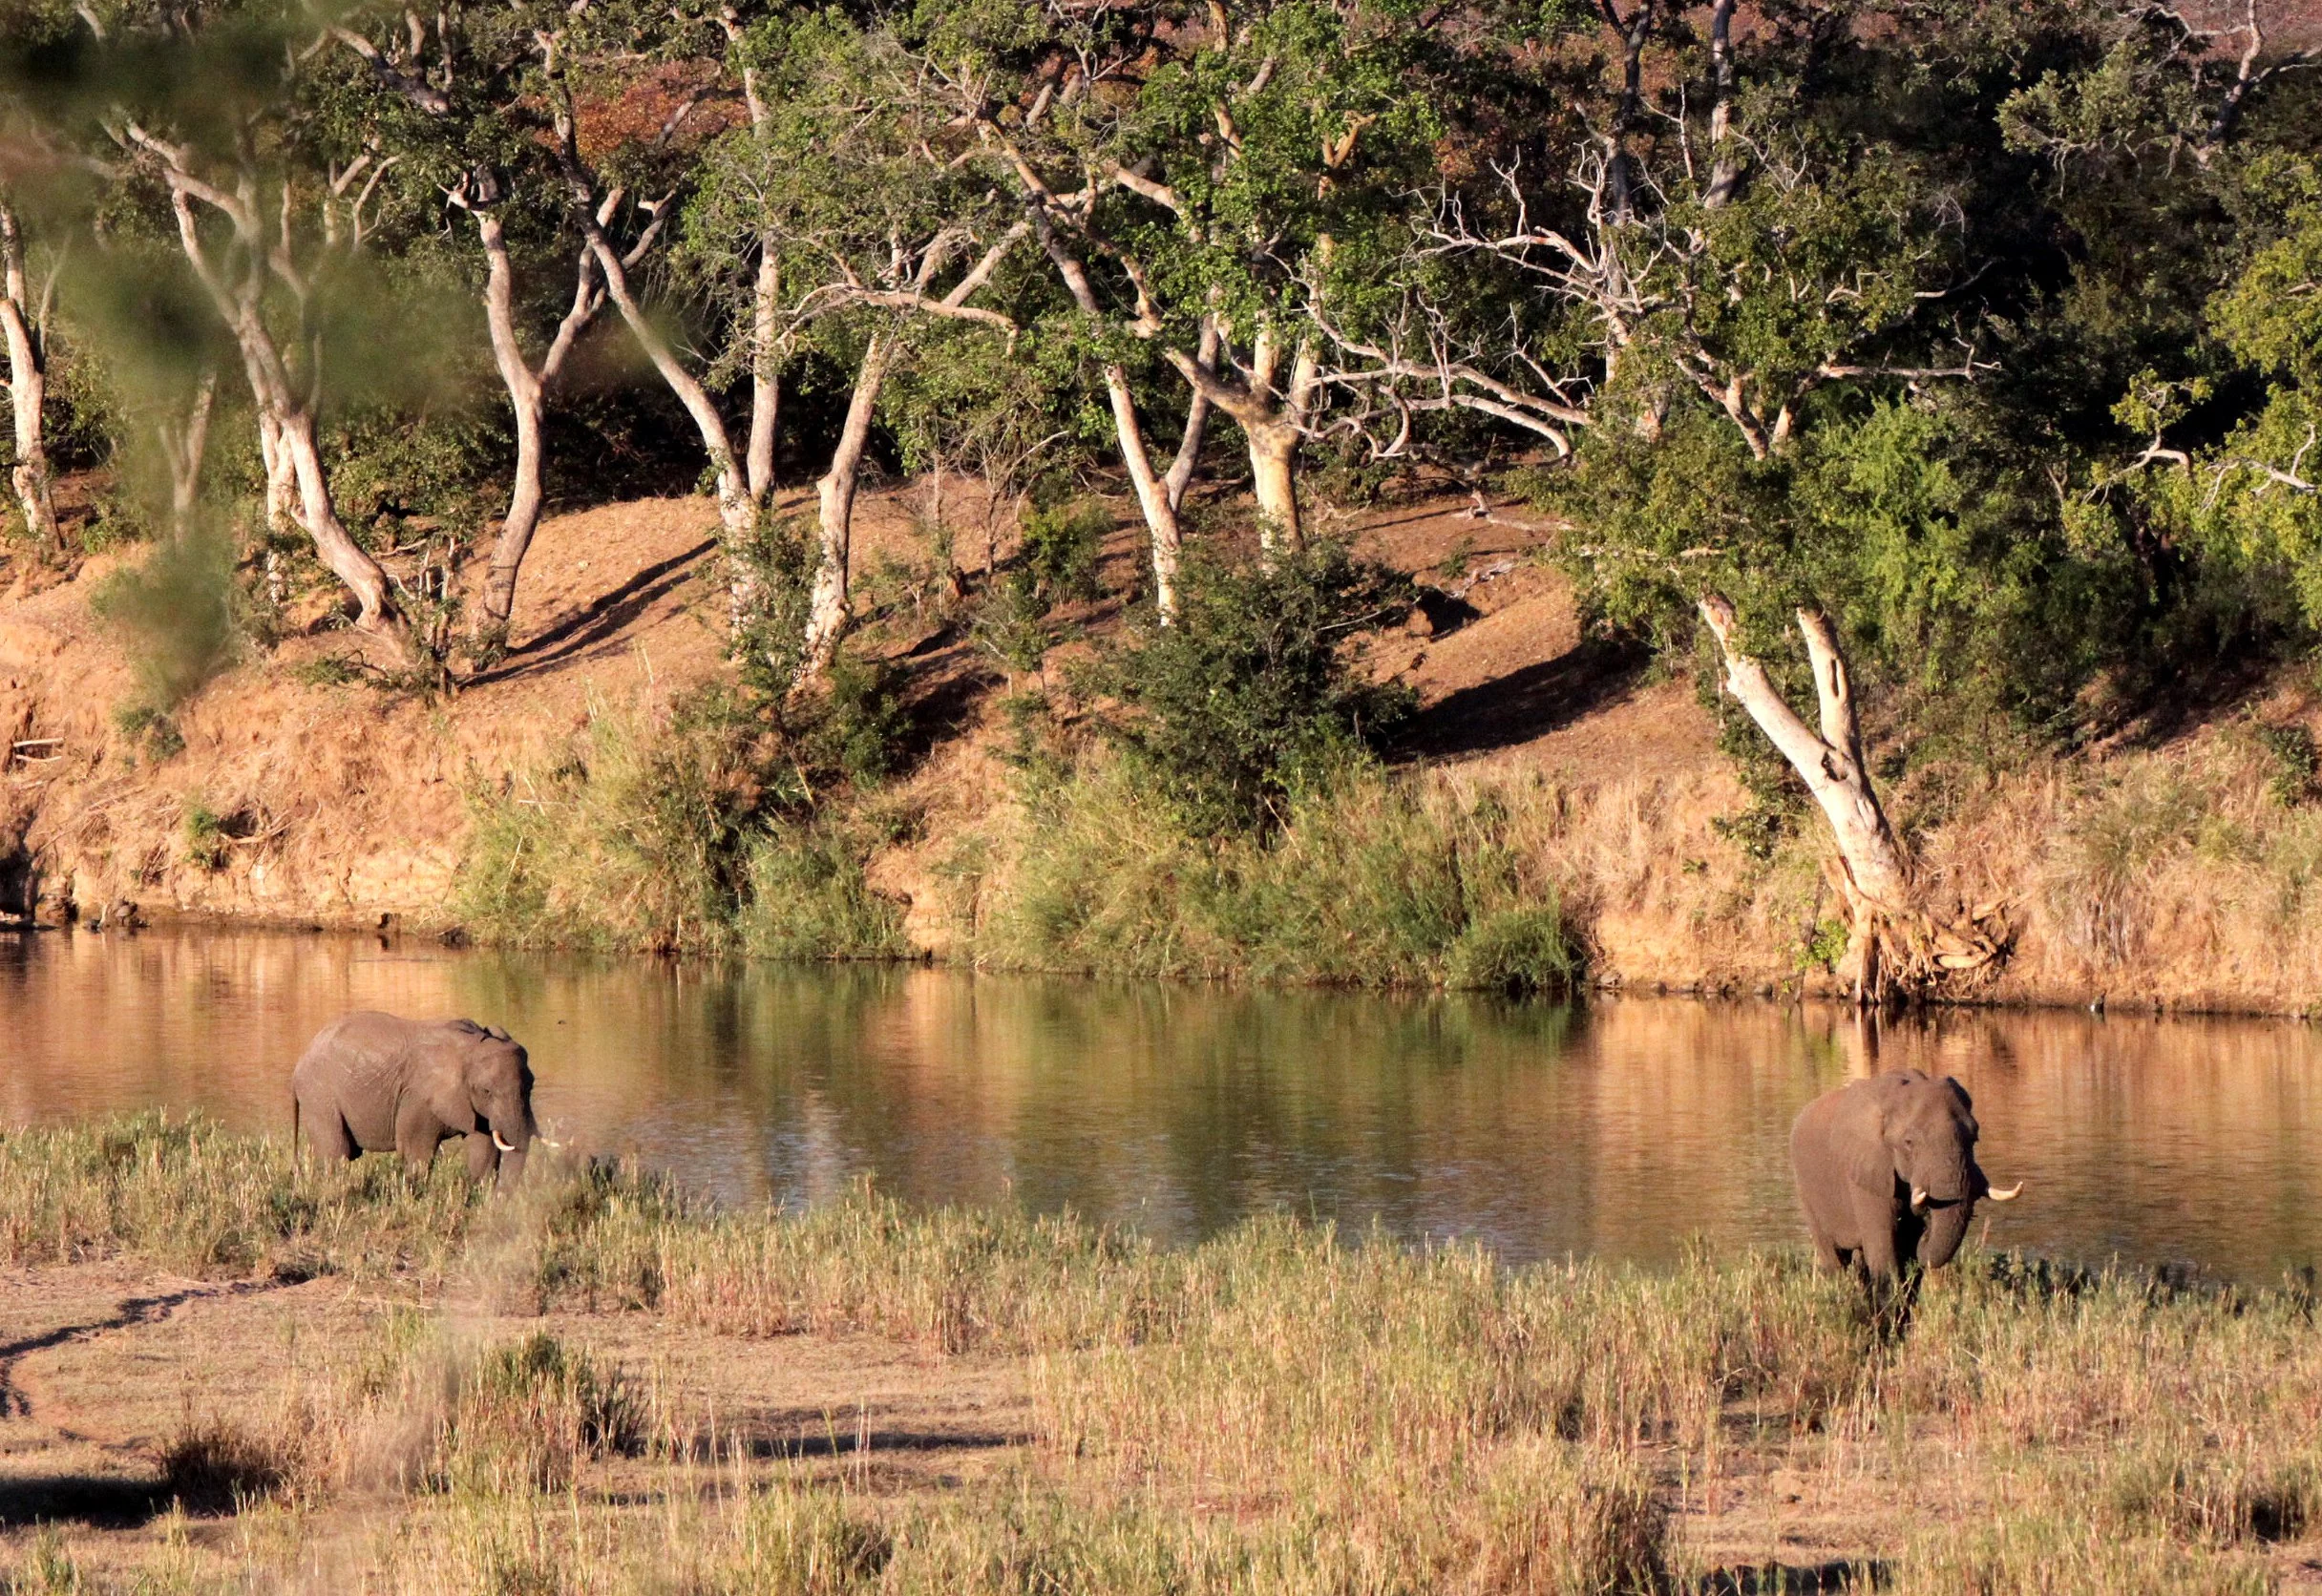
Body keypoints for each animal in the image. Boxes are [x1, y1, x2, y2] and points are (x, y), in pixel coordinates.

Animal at [292, 1011, 537, 1192]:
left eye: (531, 1086)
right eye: (486, 1091)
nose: (502, 1201)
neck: (472, 1045)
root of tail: (303, 1056)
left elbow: (483, 1147)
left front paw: (479, 1197)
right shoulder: (417, 1097)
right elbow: (416, 1150)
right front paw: (415, 1195)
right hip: (319, 1094)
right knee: (336, 1152)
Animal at [1790, 1067, 2020, 1283]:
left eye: (1974, 1139)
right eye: (1909, 1143)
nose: (1926, 1225)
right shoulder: (1868, 1173)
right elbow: (1884, 1253)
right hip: (1806, 1193)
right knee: (1834, 1259)